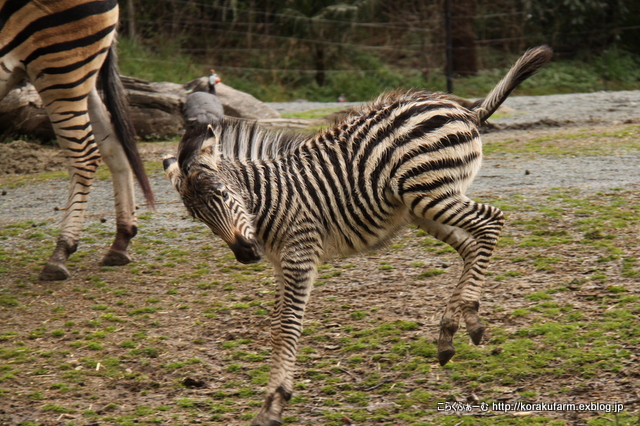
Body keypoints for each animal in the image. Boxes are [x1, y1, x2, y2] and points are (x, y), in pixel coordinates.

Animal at [0, 0, 154, 282]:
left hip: (59, 67)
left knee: (84, 156)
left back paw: (60, 253)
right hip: (80, 76)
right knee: (113, 145)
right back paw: (121, 240)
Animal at [166, 45, 556, 424]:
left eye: (223, 194)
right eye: (197, 217)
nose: (246, 254)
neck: (269, 199)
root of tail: (462, 109)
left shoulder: (299, 255)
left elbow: (287, 326)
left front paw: (273, 404)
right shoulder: (280, 262)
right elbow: (276, 326)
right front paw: (274, 398)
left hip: (430, 195)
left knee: (492, 221)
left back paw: (470, 316)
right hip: (423, 206)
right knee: (471, 244)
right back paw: (450, 332)